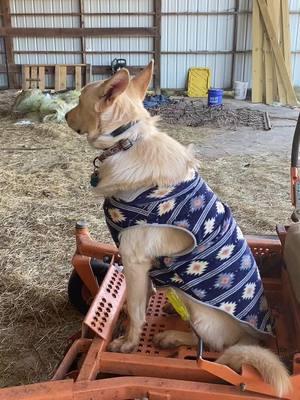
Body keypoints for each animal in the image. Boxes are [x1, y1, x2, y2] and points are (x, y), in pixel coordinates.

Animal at [66, 62, 290, 396]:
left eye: (80, 100)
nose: (66, 116)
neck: (126, 142)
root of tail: (256, 338)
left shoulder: (133, 259)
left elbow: (136, 309)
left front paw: (129, 343)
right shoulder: (141, 266)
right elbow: (141, 300)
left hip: (201, 311)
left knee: (211, 345)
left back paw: (173, 337)